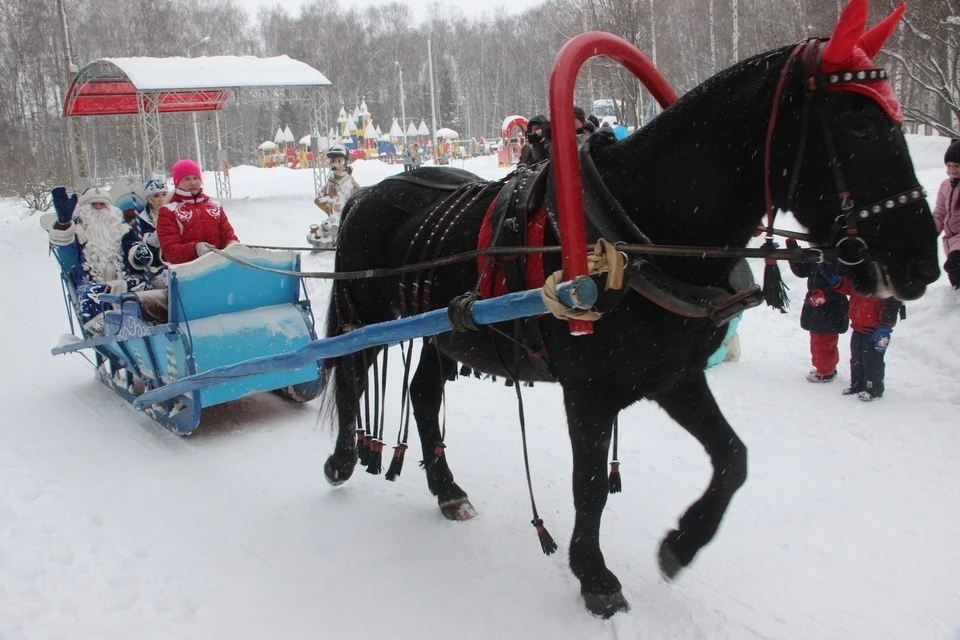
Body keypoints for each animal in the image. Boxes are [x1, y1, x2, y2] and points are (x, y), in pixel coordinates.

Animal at [322, 1, 936, 620]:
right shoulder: (588, 391)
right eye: (859, 126)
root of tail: (365, 195)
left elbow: (732, 457)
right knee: (348, 374)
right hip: (365, 322)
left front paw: (682, 543)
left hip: (443, 332)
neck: (632, 228)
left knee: (424, 394)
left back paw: (447, 489)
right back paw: (343, 459)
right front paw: (595, 575)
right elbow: (591, 485)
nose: (923, 264)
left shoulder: (674, 375)